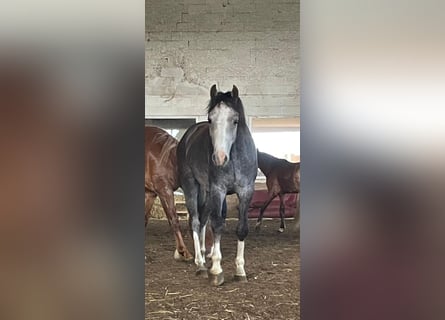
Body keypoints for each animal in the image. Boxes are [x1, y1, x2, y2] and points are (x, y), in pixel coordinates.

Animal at [175, 84, 255, 286]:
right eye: (210, 119)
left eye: (235, 120)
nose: (219, 158)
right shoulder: (218, 190)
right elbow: (218, 224)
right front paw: (217, 269)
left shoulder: (246, 192)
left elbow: (242, 228)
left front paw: (240, 270)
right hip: (191, 185)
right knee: (196, 221)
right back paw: (200, 264)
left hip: (206, 191)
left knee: (203, 219)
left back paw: (205, 255)